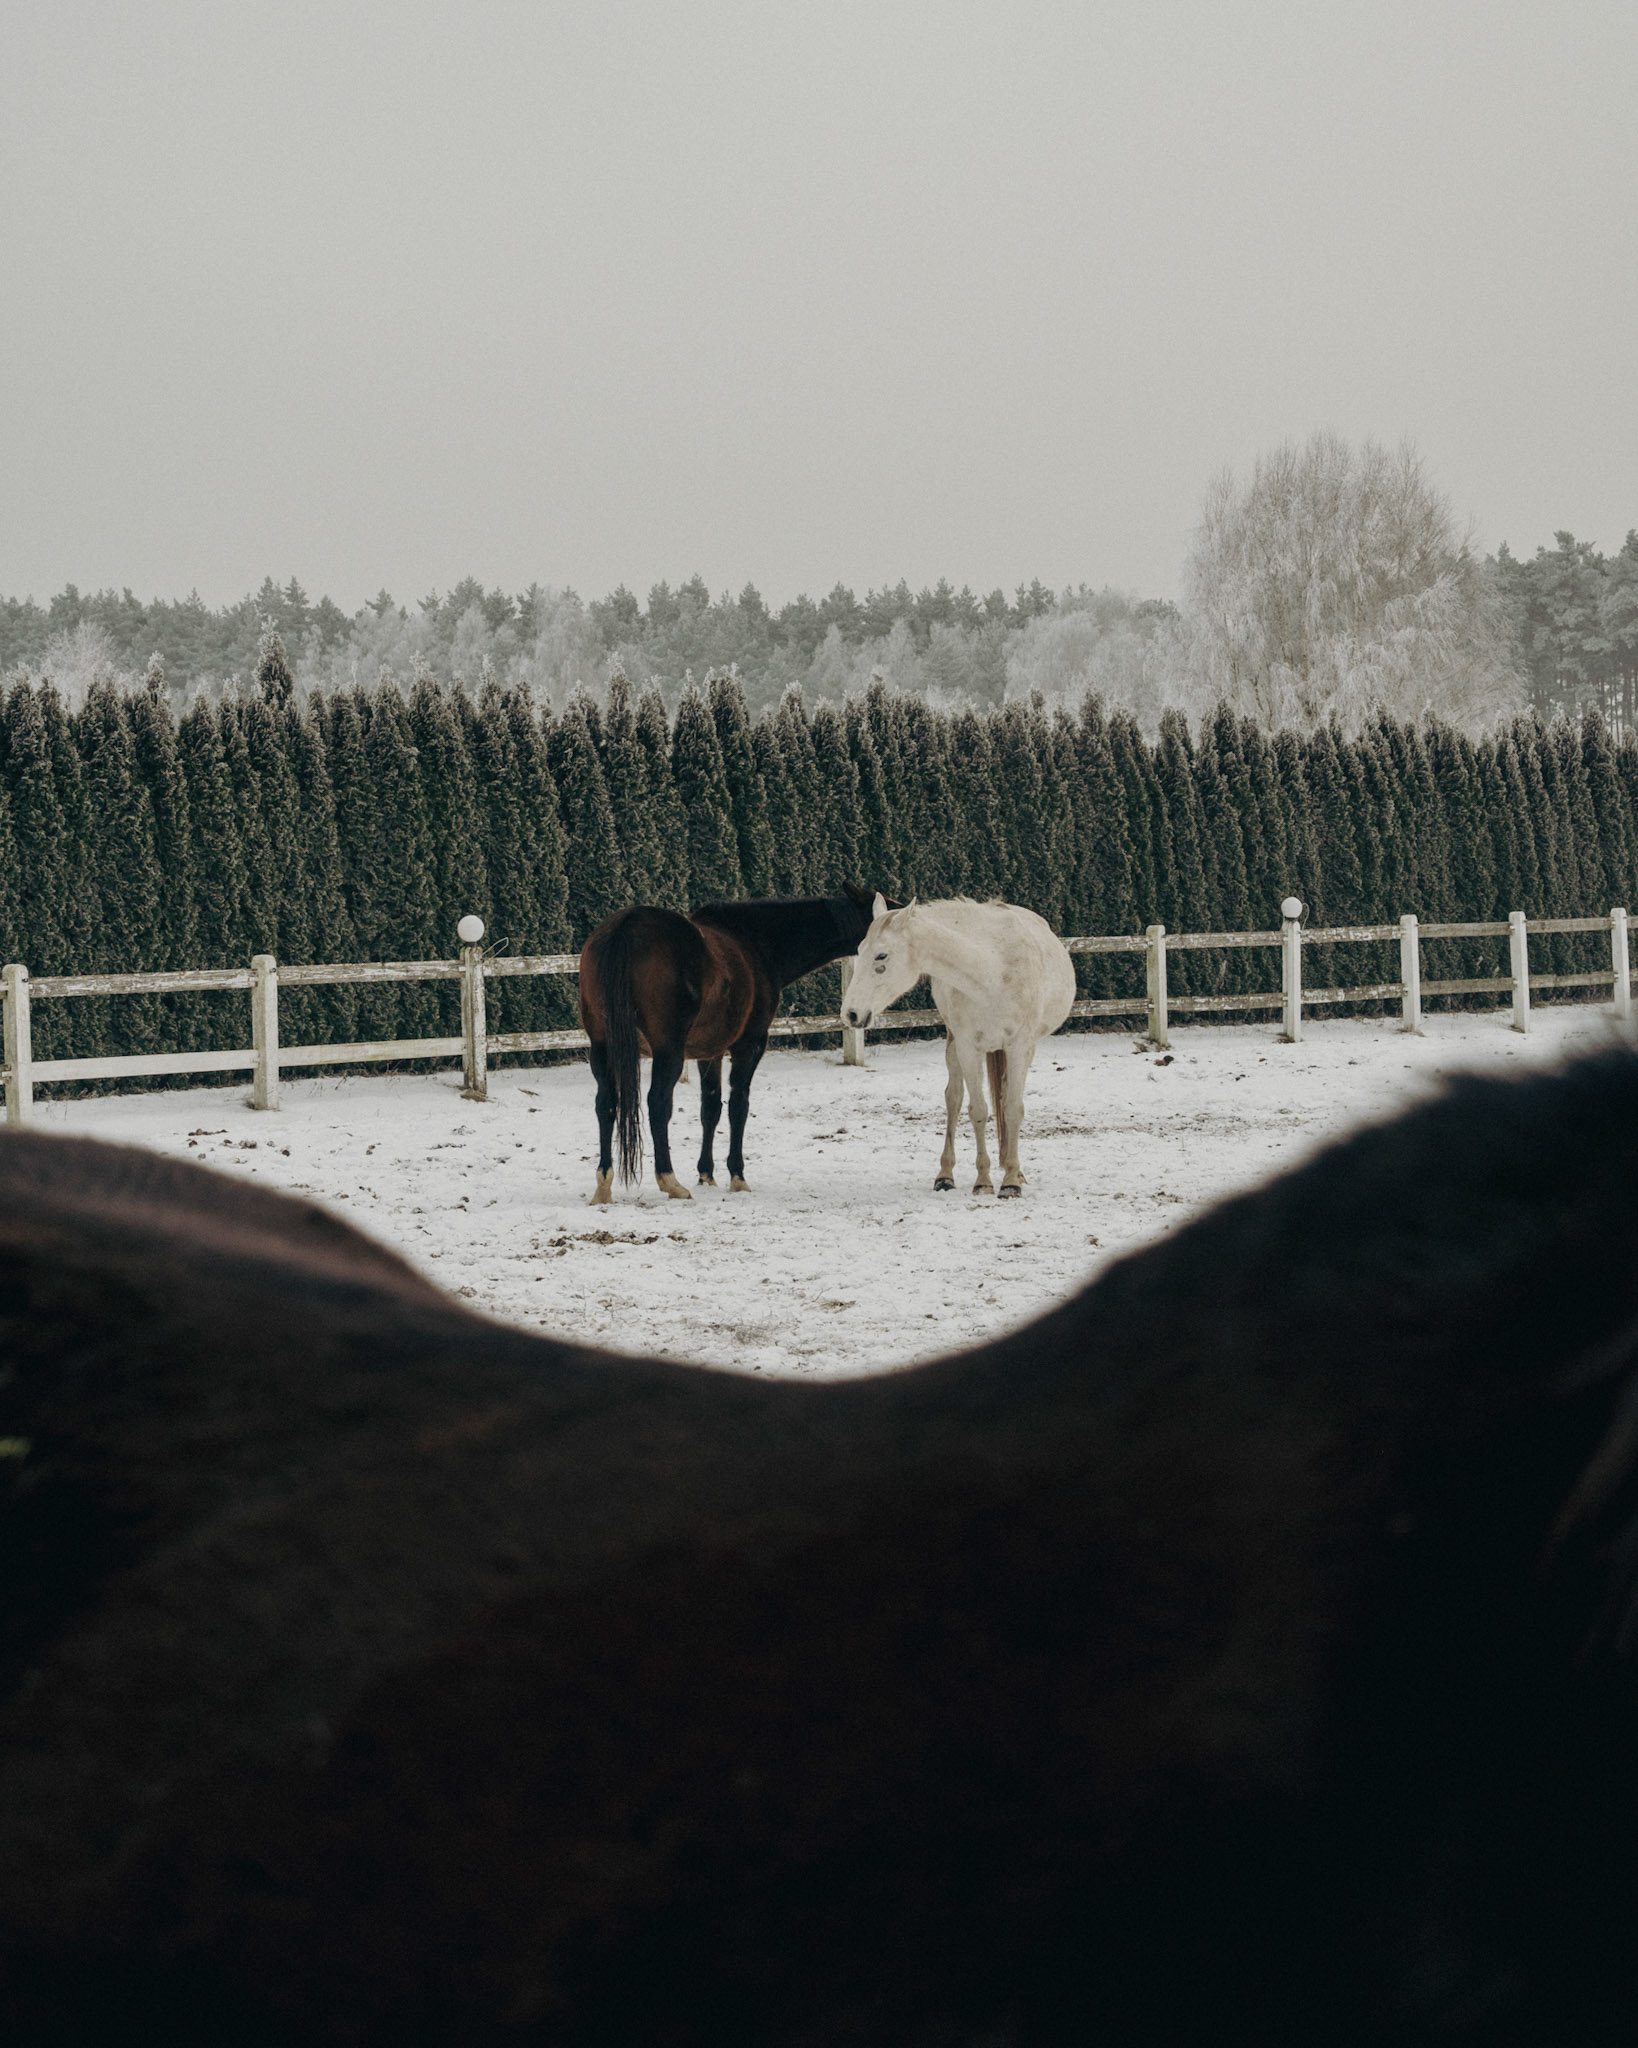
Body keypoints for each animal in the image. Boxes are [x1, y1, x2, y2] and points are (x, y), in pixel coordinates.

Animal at [578, 884, 892, 1204]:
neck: (756, 944)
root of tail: (627, 926)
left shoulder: (710, 1052)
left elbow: (710, 1108)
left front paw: (706, 1174)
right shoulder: (749, 1044)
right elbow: (738, 1106)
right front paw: (737, 1176)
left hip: (602, 1048)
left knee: (606, 1103)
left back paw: (604, 1184)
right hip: (668, 1052)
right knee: (658, 1104)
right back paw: (670, 1181)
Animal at [842, 894, 1077, 1196]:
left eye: (881, 956)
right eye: (860, 951)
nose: (850, 1014)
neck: (992, 969)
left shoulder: (1019, 1047)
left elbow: (1012, 1108)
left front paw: (1011, 1181)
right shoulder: (967, 1046)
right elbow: (978, 1110)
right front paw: (983, 1181)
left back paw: (1012, 1167)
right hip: (954, 1045)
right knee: (953, 1098)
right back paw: (946, 1176)